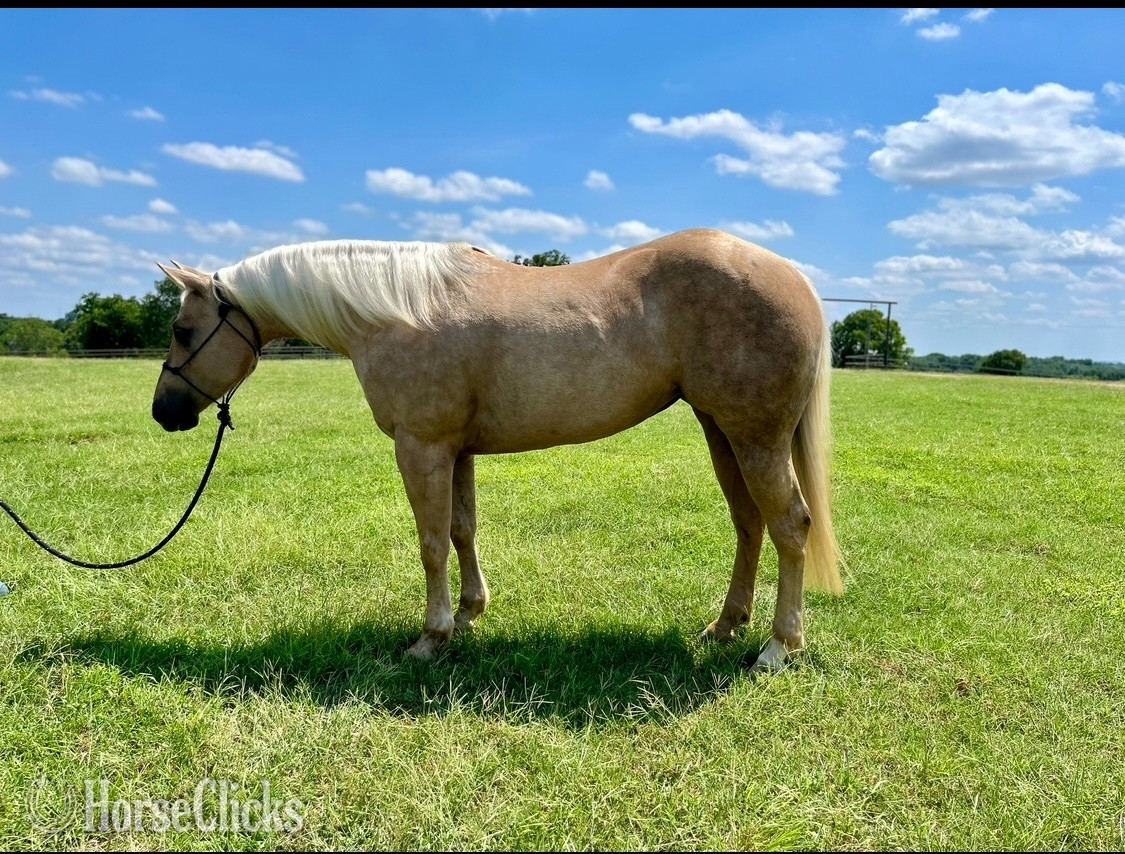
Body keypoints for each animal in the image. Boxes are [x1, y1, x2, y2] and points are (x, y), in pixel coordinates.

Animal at [151, 228, 844, 670]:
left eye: (183, 330)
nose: (164, 413)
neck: (396, 309)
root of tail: (796, 279)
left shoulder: (422, 447)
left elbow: (431, 543)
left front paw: (430, 639)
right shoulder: (455, 451)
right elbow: (462, 530)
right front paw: (468, 616)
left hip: (756, 438)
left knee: (790, 525)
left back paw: (778, 648)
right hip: (721, 430)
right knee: (750, 523)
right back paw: (726, 627)